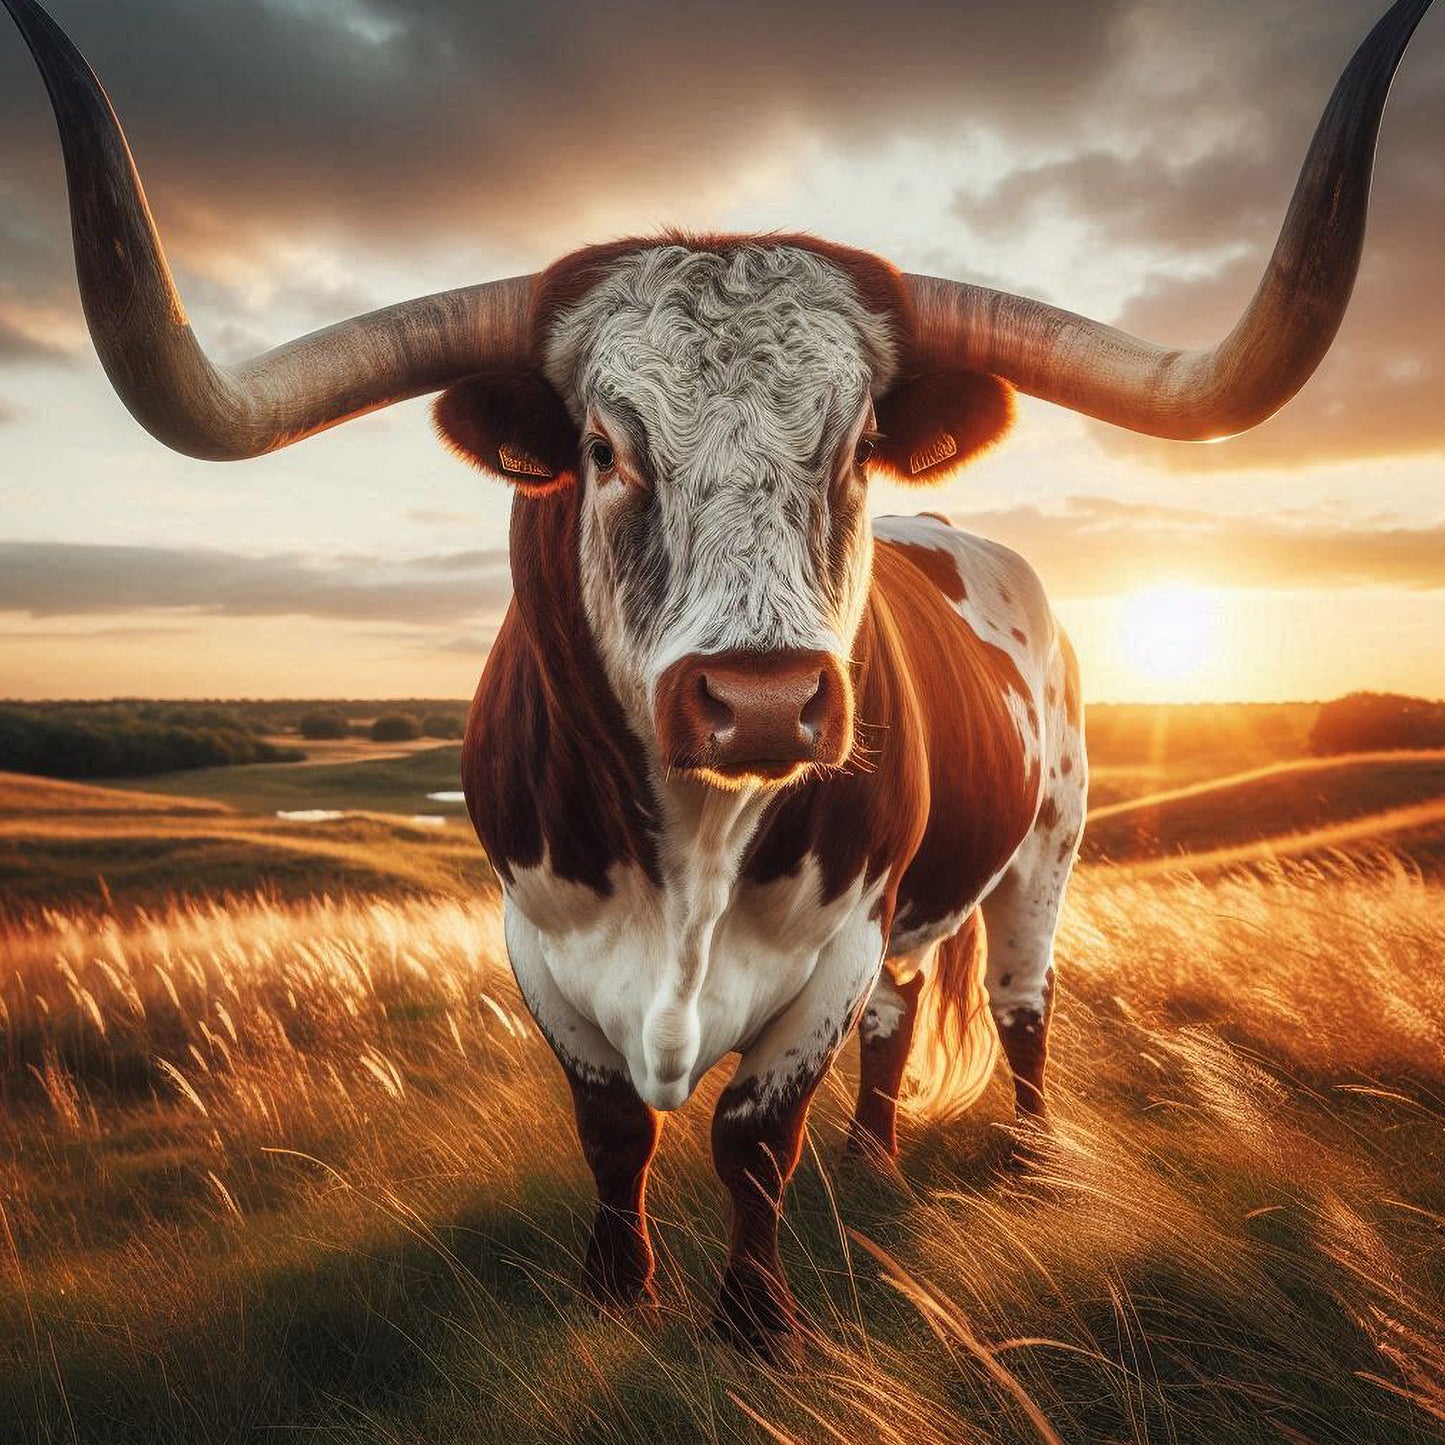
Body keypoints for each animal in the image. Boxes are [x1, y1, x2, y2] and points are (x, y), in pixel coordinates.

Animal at [4, 0, 1433, 1362]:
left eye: (855, 446)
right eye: (600, 446)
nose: (758, 701)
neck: (688, 858)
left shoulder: (836, 940)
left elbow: (752, 1136)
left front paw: (755, 1323)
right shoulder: (538, 940)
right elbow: (612, 1132)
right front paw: (615, 1294)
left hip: (1048, 842)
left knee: (1022, 1007)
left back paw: (1032, 1160)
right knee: (899, 1017)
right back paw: (872, 1158)